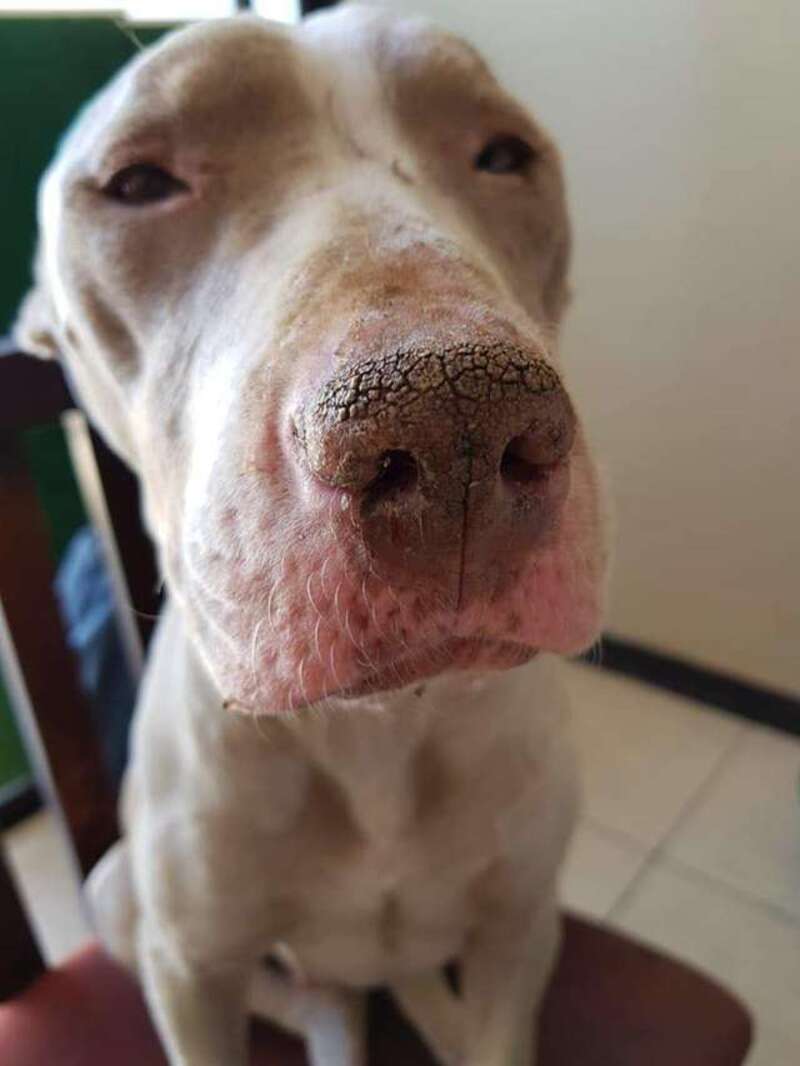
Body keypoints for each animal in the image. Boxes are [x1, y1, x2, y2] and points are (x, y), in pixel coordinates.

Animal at [15, 4, 605, 1061]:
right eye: (138, 183)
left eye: (505, 154)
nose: (454, 418)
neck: (375, 731)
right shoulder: (189, 971)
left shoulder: (521, 929)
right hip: (117, 891)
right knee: (317, 990)